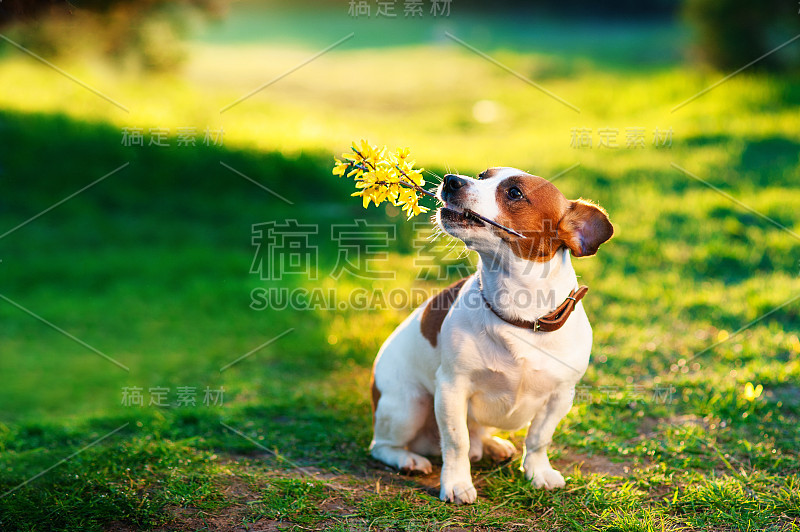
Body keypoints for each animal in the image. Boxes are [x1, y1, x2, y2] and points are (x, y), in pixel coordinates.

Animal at [368, 166, 612, 502]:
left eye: (514, 193)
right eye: (482, 176)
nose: (451, 180)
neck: (519, 315)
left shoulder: (560, 396)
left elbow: (538, 438)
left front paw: (538, 472)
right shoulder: (452, 388)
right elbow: (456, 442)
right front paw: (457, 484)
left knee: (478, 435)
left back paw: (493, 445)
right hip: (408, 405)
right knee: (383, 446)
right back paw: (408, 459)